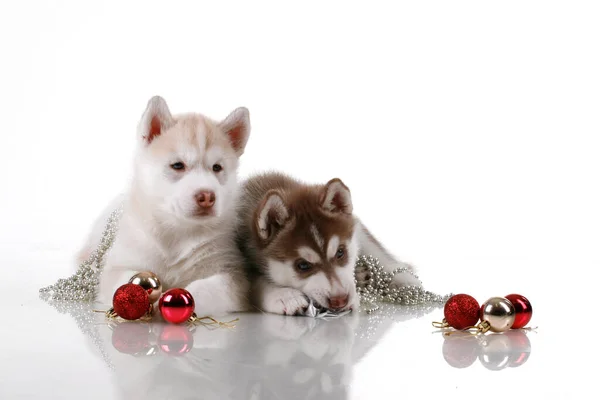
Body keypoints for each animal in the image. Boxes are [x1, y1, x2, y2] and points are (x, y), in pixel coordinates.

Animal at [78, 97, 251, 316]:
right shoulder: (118, 266)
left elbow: (205, 288)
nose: (207, 197)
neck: (178, 231)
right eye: (178, 165)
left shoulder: (231, 273)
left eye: (217, 168)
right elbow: (125, 281)